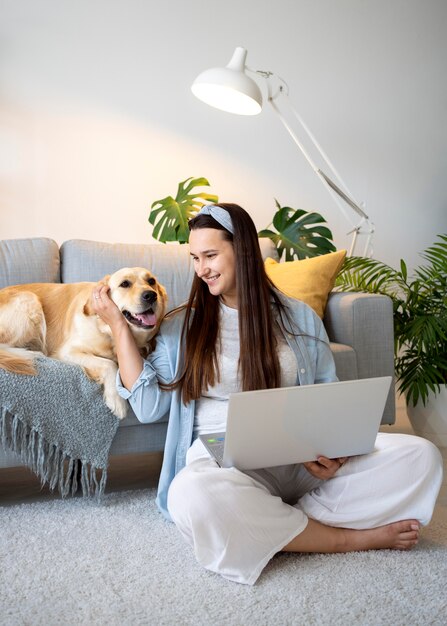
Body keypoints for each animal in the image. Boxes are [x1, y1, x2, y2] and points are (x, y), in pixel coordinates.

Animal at [0, 268, 167, 420]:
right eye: (125, 284)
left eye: (151, 281)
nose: (151, 295)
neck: (108, 331)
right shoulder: (67, 352)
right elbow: (109, 364)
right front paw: (117, 401)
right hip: (29, 301)